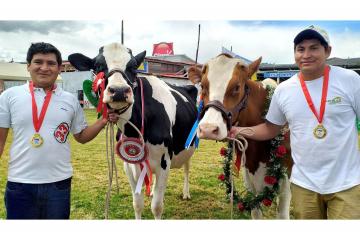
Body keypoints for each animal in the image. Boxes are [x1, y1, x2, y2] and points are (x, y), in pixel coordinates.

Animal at [67, 43, 197, 219]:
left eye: (133, 67)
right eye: (98, 66)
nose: (119, 91)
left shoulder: (165, 162)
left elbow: (157, 207)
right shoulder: (129, 164)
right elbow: (137, 204)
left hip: (189, 144)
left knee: (187, 168)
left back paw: (186, 193)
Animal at [188, 54, 292, 219]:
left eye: (237, 87)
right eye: (203, 86)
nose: (208, 129)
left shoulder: (285, 185)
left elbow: (282, 214)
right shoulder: (249, 177)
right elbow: (255, 211)